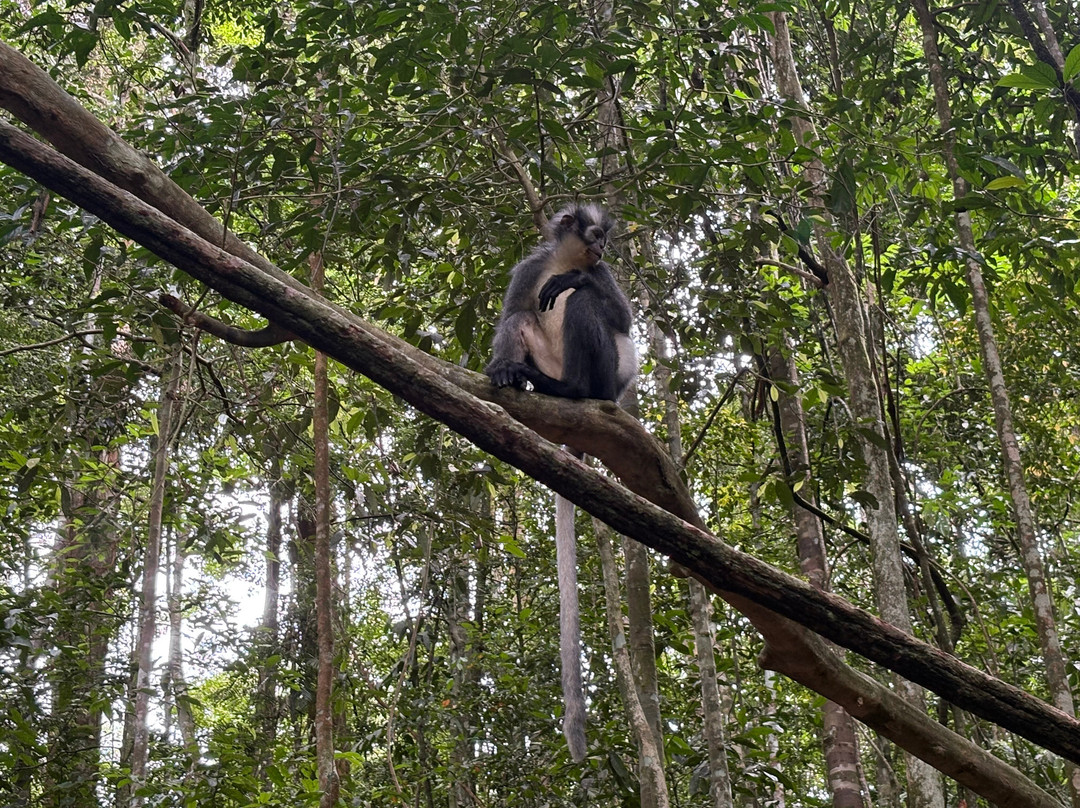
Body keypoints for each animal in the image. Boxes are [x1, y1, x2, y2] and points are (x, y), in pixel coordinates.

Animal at [485, 204, 637, 762]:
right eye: (595, 233)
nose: (604, 248)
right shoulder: (528, 269)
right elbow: (511, 312)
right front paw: (500, 367)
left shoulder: (600, 275)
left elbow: (618, 314)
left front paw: (574, 280)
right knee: (522, 319)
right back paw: (520, 377)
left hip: (608, 378)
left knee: (585, 308)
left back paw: (571, 389)